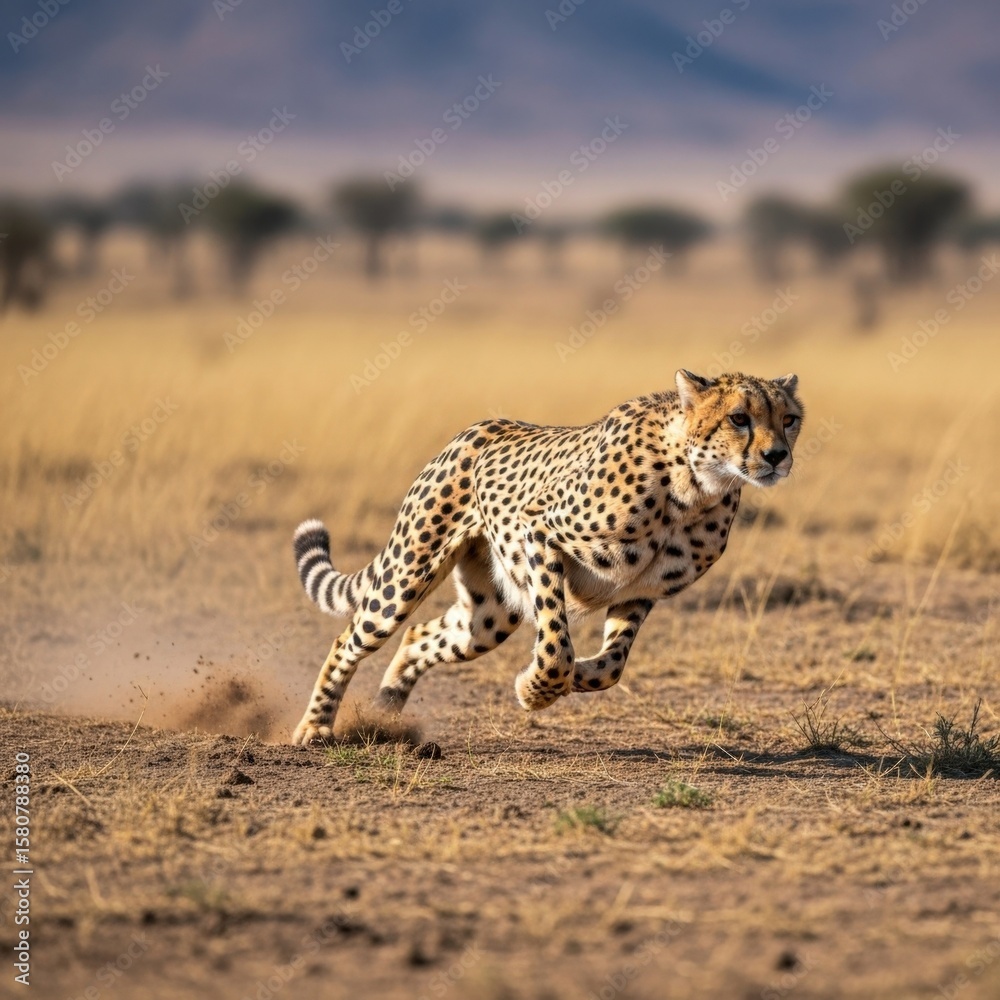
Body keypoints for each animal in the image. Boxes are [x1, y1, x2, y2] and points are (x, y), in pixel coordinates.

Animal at [290, 369, 803, 745]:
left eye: (789, 419)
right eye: (739, 418)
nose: (777, 456)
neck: (694, 487)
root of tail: (476, 428)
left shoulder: (639, 591)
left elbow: (611, 666)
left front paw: (577, 676)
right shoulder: (538, 531)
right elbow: (557, 643)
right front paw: (536, 689)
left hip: (489, 615)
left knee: (421, 634)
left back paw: (386, 711)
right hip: (409, 572)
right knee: (351, 637)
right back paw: (316, 726)